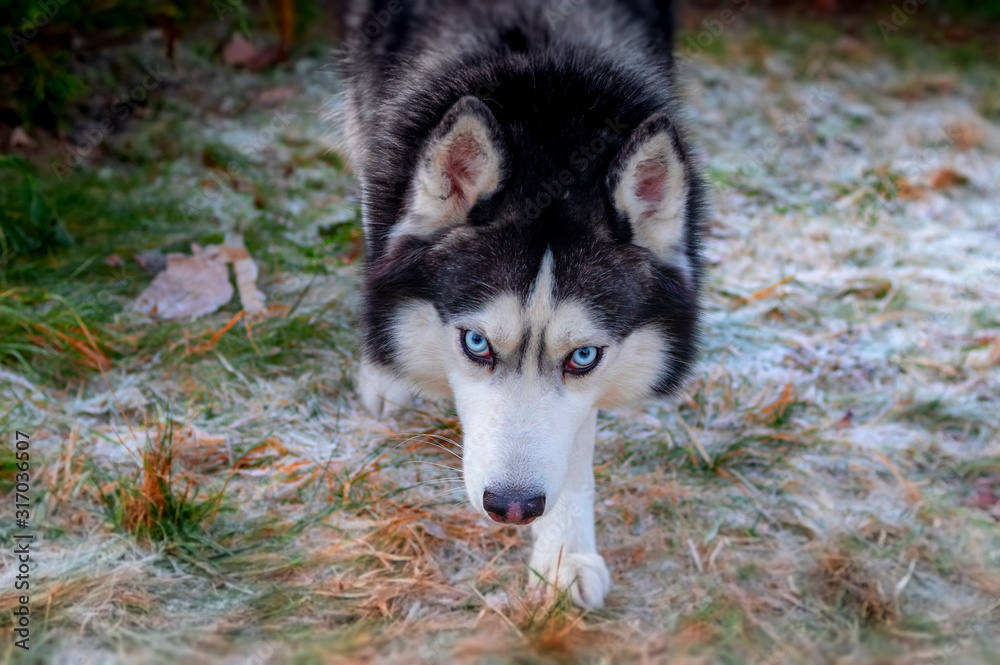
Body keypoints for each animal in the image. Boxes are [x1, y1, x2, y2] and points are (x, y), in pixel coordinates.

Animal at [340, 0, 708, 608]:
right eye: (476, 343)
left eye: (582, 357)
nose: (513, 508)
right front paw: (383, 368)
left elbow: (576, 449)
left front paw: (564, 554)